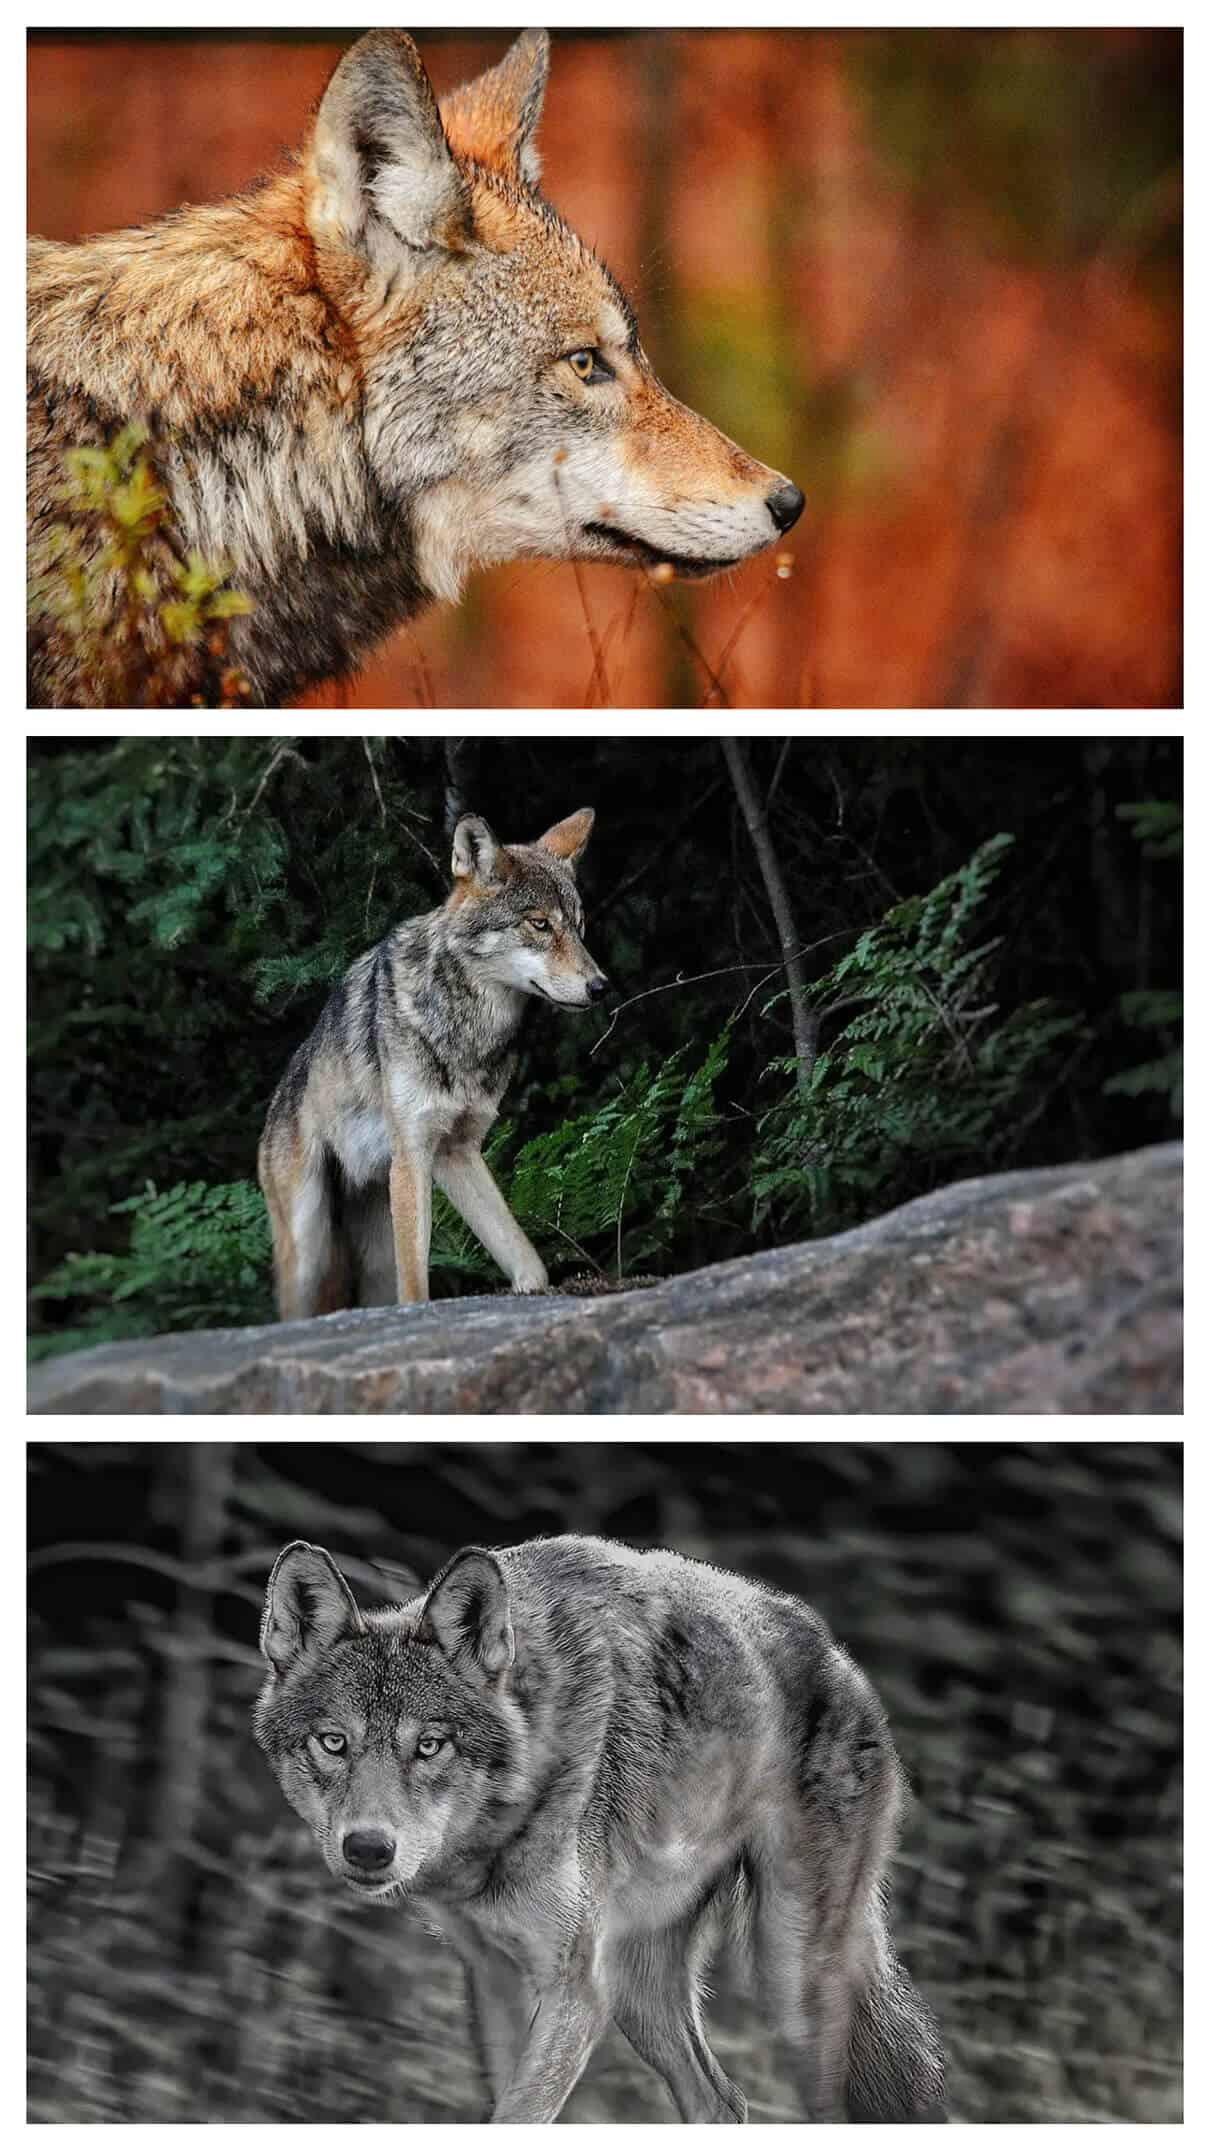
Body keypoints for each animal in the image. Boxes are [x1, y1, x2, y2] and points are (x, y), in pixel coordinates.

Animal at [254, 1533, 946, 2125]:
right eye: (333, 1742)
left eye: (429, 1746)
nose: (369, 1848)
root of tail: (842, 1659)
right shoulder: (494, 1974)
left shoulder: (577, 1992)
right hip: (642, 1989)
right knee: (722, 2103)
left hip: (787, 1984)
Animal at [258, 805, 605, 1320]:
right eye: (540, 924)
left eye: (579, 927)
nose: (600, 986)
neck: (469, 1031)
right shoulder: (413, 1153)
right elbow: (416, 1288)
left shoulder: (456, 1150)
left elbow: (529, 1262)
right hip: (307, 1247)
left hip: (373, 1248)